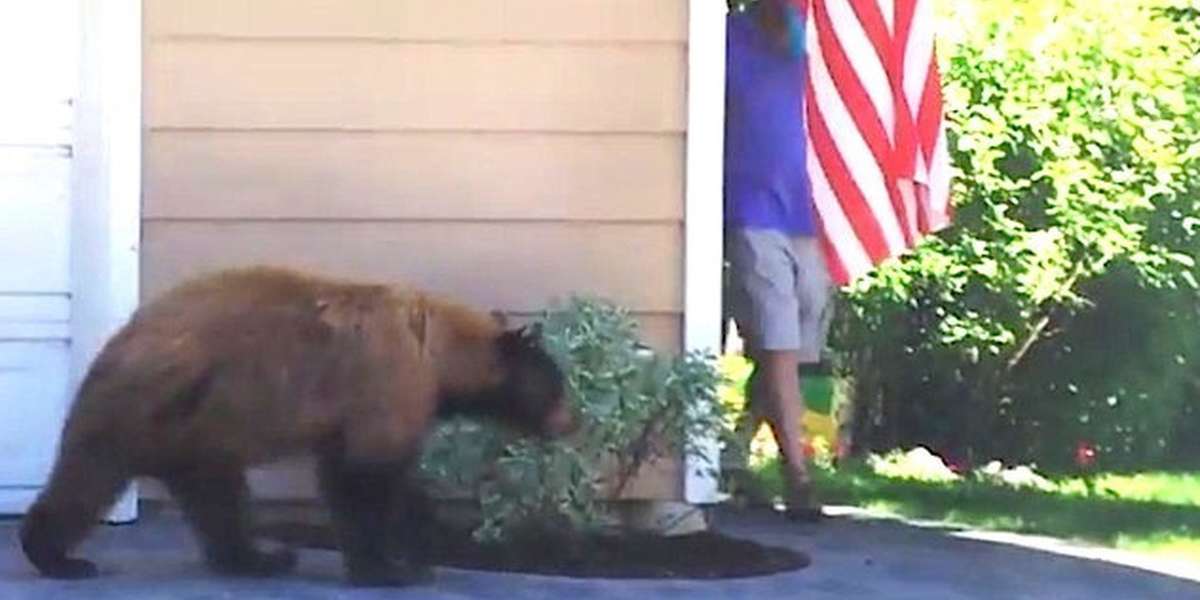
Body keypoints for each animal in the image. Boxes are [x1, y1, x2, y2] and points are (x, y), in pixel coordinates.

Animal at [19, 265, 575, 587]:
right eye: (558, 385)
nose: (571, 423)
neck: (436, 349)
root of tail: (119, 340)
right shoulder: (385, 381)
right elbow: (367, 478)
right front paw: (391, 567)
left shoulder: (357, 409)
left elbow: (353, 474)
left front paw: (409, 552)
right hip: (146, 407)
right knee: (89, 476)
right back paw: (56, 557)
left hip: (199, 432)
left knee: (217, 497)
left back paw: (257, 557)